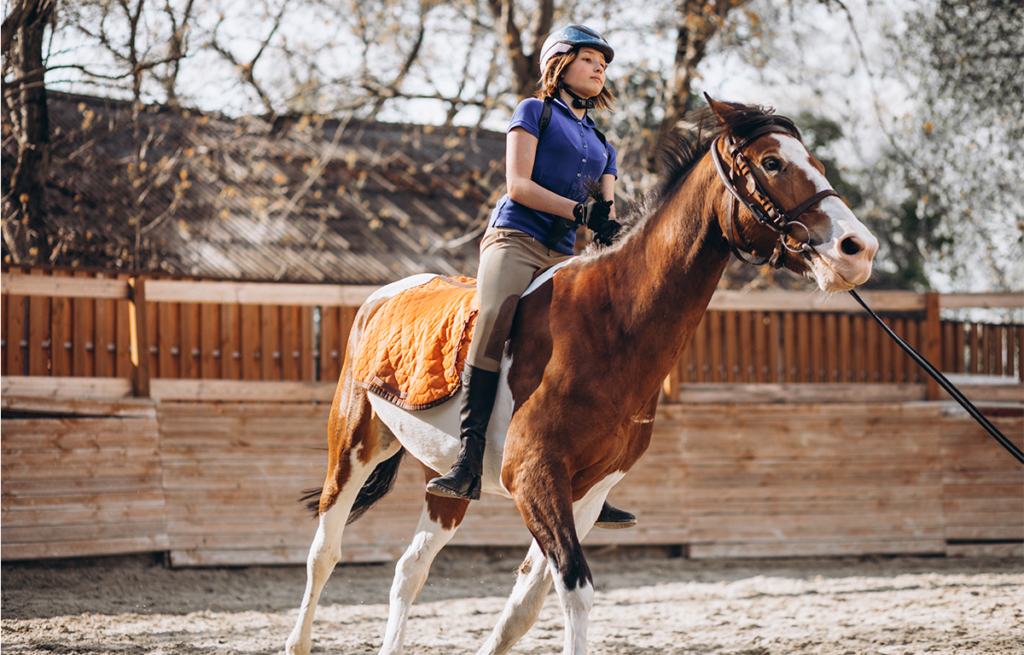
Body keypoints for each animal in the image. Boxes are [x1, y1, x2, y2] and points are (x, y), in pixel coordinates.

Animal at [285, 97, 878, 655]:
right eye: (772, 162)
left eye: (815, 162)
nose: (859, 249)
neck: (613, 324)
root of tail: (386, 294)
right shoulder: (536, 477)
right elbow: (575, 589)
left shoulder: (588, 493)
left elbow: (527, 604)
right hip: (353, 448)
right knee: (323, 552)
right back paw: (299, 638)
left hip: (446, 481)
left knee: (411, 567)